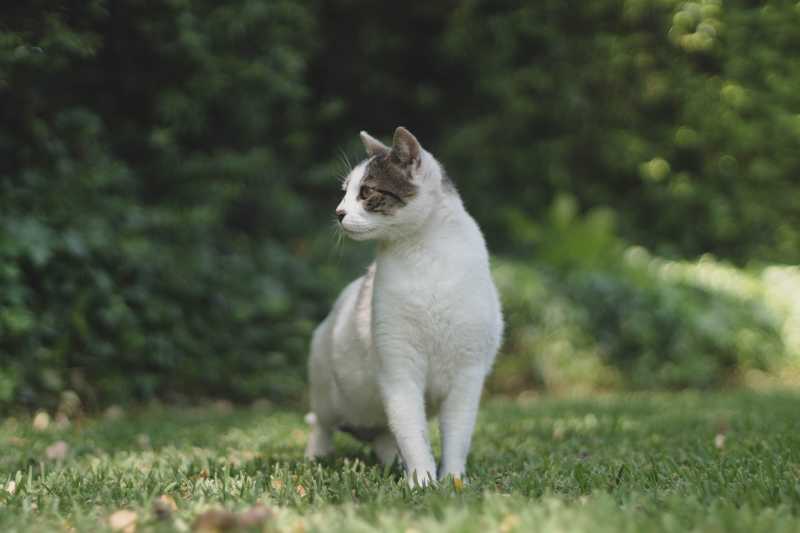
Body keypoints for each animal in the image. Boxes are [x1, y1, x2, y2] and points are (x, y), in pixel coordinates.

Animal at [304, 127, 504, 484]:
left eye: (366, 191)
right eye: (344, 193)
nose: (339, 213)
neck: (423, 254)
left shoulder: (467, 376)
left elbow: (457, 435)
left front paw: (453, 481)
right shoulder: (399, 370)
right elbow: (413, 432)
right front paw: (422, 481)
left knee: (383, 434)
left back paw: (390, 462)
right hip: (329, 395)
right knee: (322, 425)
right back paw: (318, 456)